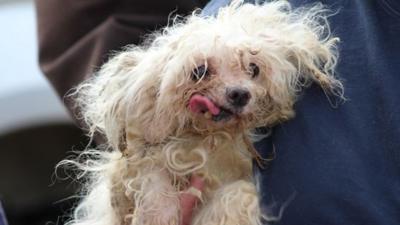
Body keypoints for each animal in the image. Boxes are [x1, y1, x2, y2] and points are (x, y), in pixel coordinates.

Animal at [63, 0, 344, 224]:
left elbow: (238, 195)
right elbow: (151, 172)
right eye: (200, 71)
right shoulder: (142, 161)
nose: (240, 94)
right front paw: (159, 213)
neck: (207, 140)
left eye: (253, 69)